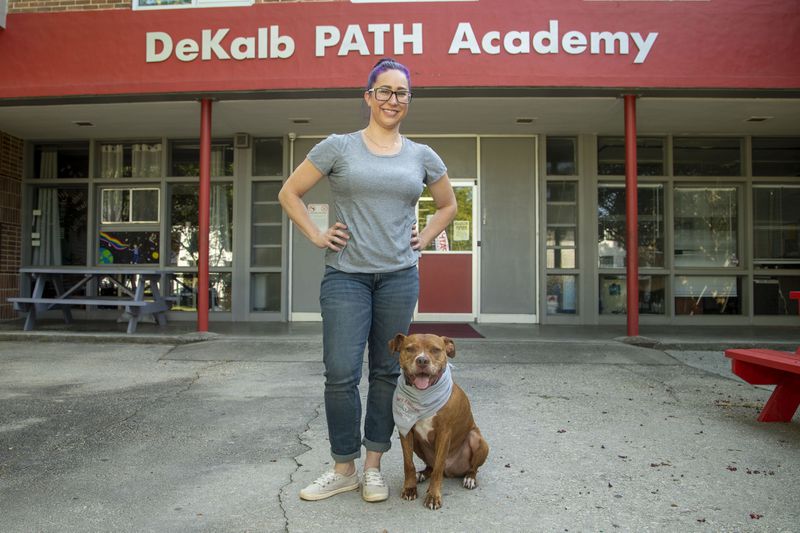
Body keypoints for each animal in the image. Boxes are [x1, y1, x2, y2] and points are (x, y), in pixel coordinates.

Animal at [388, 330, 488, 510]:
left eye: (435, 350)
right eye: (410, 349)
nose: (422, 360)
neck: (423, 395)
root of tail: (452, 471)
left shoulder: (444, 433)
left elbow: (438, 469)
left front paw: (433, 496)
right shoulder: (405, 431)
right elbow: (408, 463)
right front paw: (410, 488)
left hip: (479, 440)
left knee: (471, 468)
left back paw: (470, 478)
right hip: (418, 444)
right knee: (430, 466)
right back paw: (421, 474)